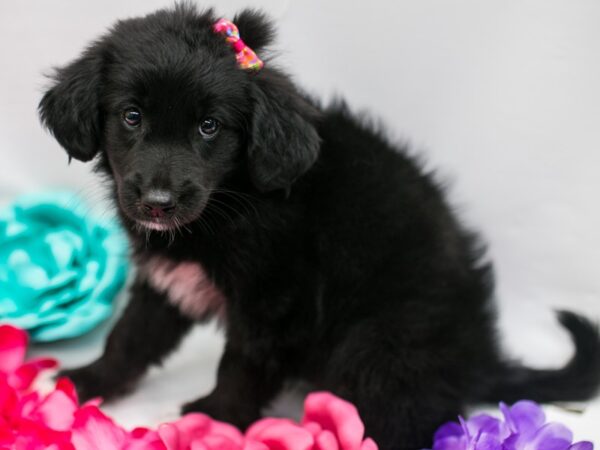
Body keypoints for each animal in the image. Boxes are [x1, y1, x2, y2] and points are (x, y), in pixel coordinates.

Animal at [38, 4, 600, 450]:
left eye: (209, 127)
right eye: (132, 116)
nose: (158, 204)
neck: (231, 203)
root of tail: (482, 358)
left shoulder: (275, 303)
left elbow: (242, 364)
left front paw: (214, 421)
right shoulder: (166, 279)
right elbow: (131, 336)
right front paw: (86, 382)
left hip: (378, 343)